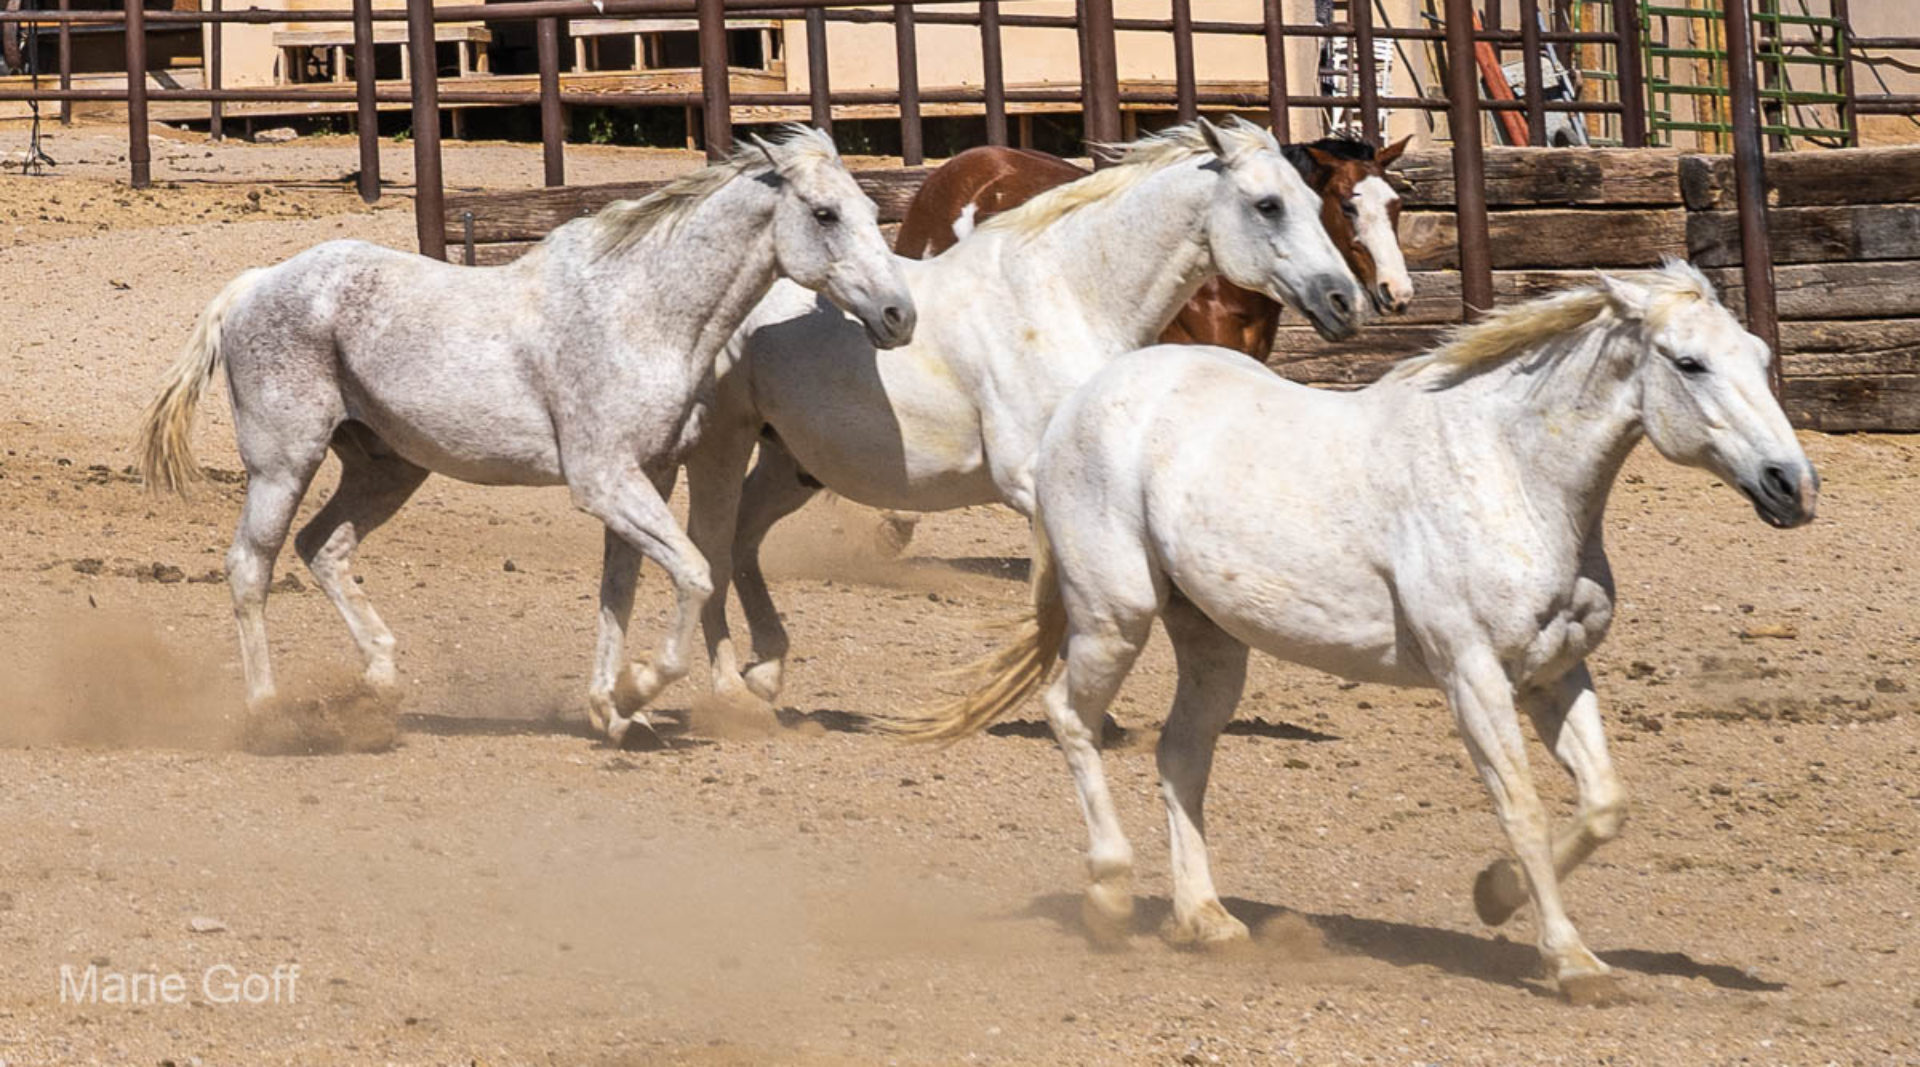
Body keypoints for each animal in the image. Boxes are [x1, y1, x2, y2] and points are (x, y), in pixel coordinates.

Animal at [137, 124, 913, 744]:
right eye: (824, 213)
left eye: (875, 211)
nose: (899, 315)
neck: (642, 313)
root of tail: (256, 284)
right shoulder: (605, 481)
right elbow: (693, 574)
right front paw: (638, 686)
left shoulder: (647, 477)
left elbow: (619, 590)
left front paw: (612, 710)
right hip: (283, 464)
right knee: (251, 565)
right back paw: (268, 713)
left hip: (388, 468)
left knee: (322, 547)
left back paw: (381, 679)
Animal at [883, 262, 1812, 1005]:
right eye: (1689, 362)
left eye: (1761, 358)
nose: (1792, 485)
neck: (1510, 472)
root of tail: (1083, 403)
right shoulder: (1472, 675)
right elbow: (1521, 807)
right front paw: (1572, 962)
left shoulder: (1556, 673)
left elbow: (1604, 802)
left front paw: (1494, 895)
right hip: (1116, 612)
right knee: (1071, 717)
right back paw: (1110, 897)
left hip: (1211, 639)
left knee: (1181, 754)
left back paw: (1206, 919)